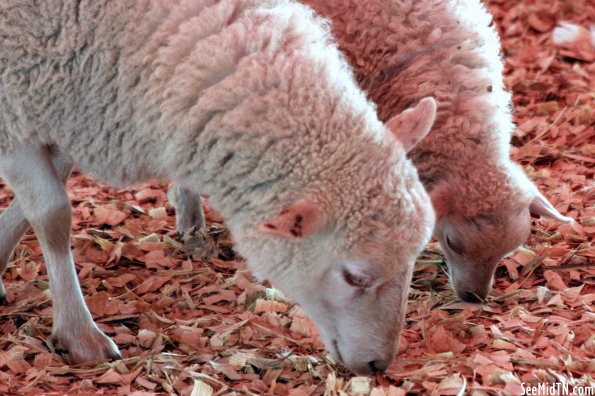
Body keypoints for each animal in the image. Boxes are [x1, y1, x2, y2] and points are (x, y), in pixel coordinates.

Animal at [0, 0, 438, 374]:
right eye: (355, 278)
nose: (379, 364)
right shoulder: (19, 104)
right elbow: (54, 216)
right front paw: (79, 333)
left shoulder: (67, 107)